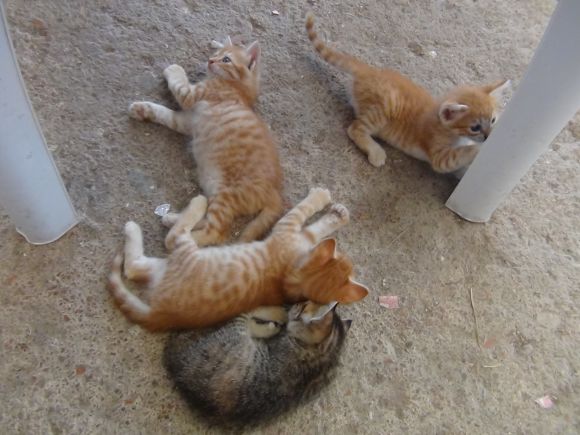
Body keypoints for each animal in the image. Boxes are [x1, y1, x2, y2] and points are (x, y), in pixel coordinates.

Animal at [107, 188, 368, 331]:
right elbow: (316, 227)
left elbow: (305, 213)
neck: (292, 281)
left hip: (183, 252)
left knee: (166, 242)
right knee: (134, 267)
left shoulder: (288, 228)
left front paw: (321, 200)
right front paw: (337, 215)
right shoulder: (297, 235)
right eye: (347, 261)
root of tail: (159, 315)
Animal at [129, 37, 283, 246]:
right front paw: (142, 109)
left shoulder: (191, 94)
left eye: (226, 59)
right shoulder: (186, 122)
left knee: (217, 232)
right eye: (216, 54)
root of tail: (276, 191)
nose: (210, 61)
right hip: (213, 189)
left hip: (227, 195)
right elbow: (165, 113)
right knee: (207, 220)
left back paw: (178, 238)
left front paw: (174, 69)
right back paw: (174, 218)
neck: (237, 88)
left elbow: (179, 83)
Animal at [164, 301, 351, 427]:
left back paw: (273, 317)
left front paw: (279, 320)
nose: (294, 303)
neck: (325, 355)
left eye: (302, 305)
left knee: (246, 315)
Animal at [306, 14, 509, 173]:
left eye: (493, 120)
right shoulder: (439, 155)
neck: (449, 131)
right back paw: (376, 152)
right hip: (385, 106)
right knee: (355, 128)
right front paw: (481, 149)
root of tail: (369, 70)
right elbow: (460, 155)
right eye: (475, 127)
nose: (488, 136)